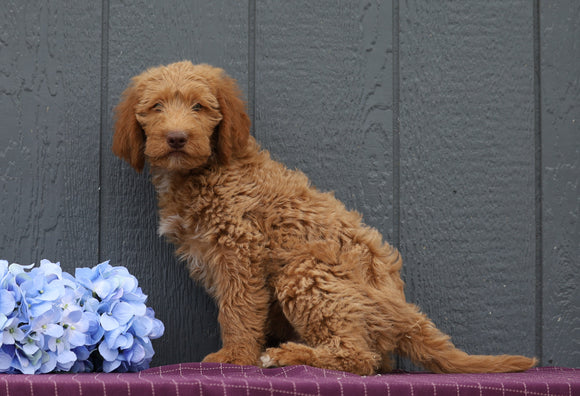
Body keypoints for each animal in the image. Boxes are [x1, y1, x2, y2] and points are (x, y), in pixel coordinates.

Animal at [111, 59, 536, 374]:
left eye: (199, 107)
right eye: (156, 108)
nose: (177, 138)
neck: (203, 172)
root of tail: (403, 312)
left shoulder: (240, 248)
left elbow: (238, 308)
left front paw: (235, 357)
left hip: (305, 272)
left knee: (359, 359)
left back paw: (290, 354)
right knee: (376, 360)